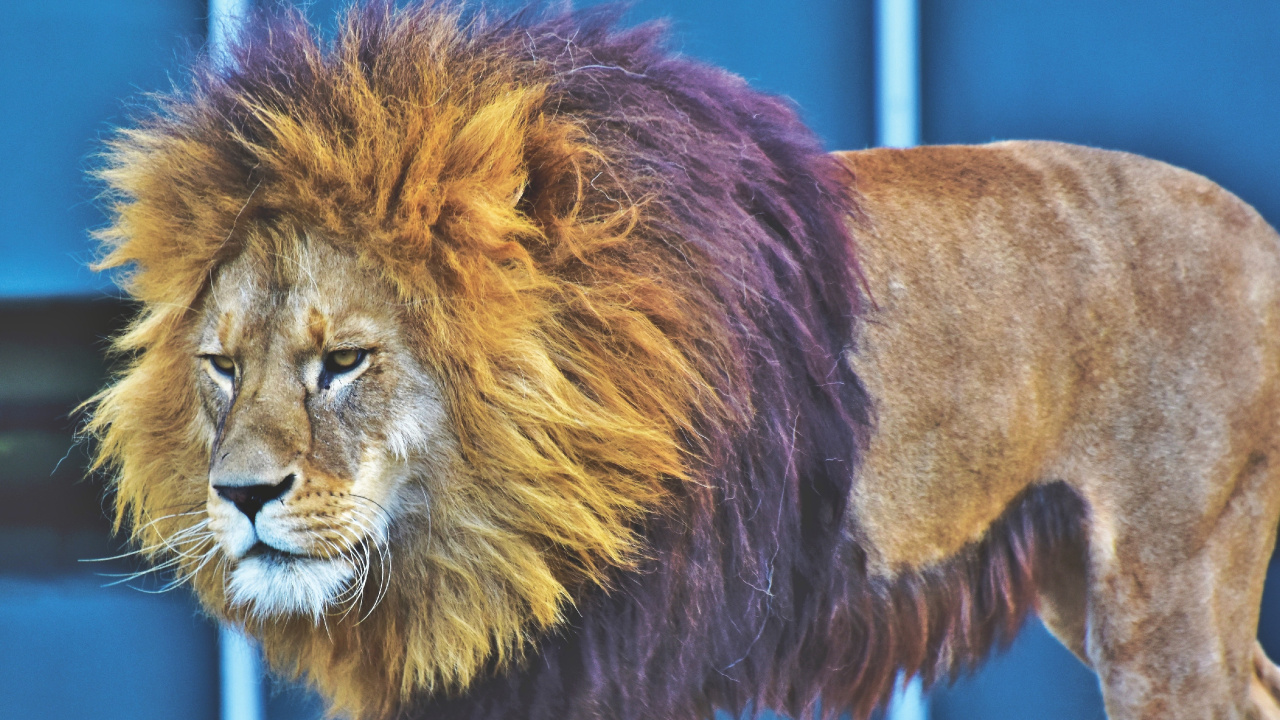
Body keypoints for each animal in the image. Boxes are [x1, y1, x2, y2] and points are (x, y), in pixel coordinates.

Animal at [86, 3, 1280, 719]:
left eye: (342, 361)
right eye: (220, 367)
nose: (240, 496)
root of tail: (1256, 226)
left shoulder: (627, 658)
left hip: (1160, 599)